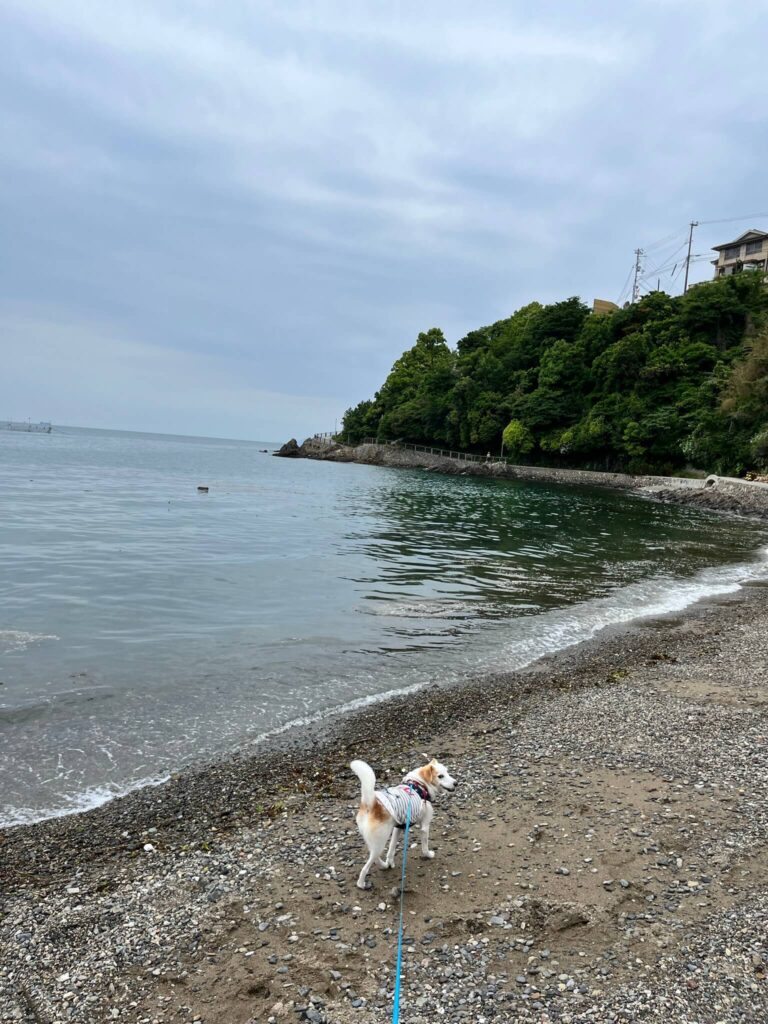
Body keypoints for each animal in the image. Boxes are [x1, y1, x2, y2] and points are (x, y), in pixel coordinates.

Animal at [350, 757, 456, 892]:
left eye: (447, 772)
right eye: (440, 776)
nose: (456, 783)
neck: (420, 785)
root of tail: (371, 803)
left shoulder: (399, 827)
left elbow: (391, 849)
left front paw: (390, 862)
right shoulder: (425, 827)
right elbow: (425, 846)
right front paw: (428, 855)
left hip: (375, 842)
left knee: (375, 857)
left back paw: (384, 865)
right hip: (380, 842)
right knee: (366, 867)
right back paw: (362, 883)